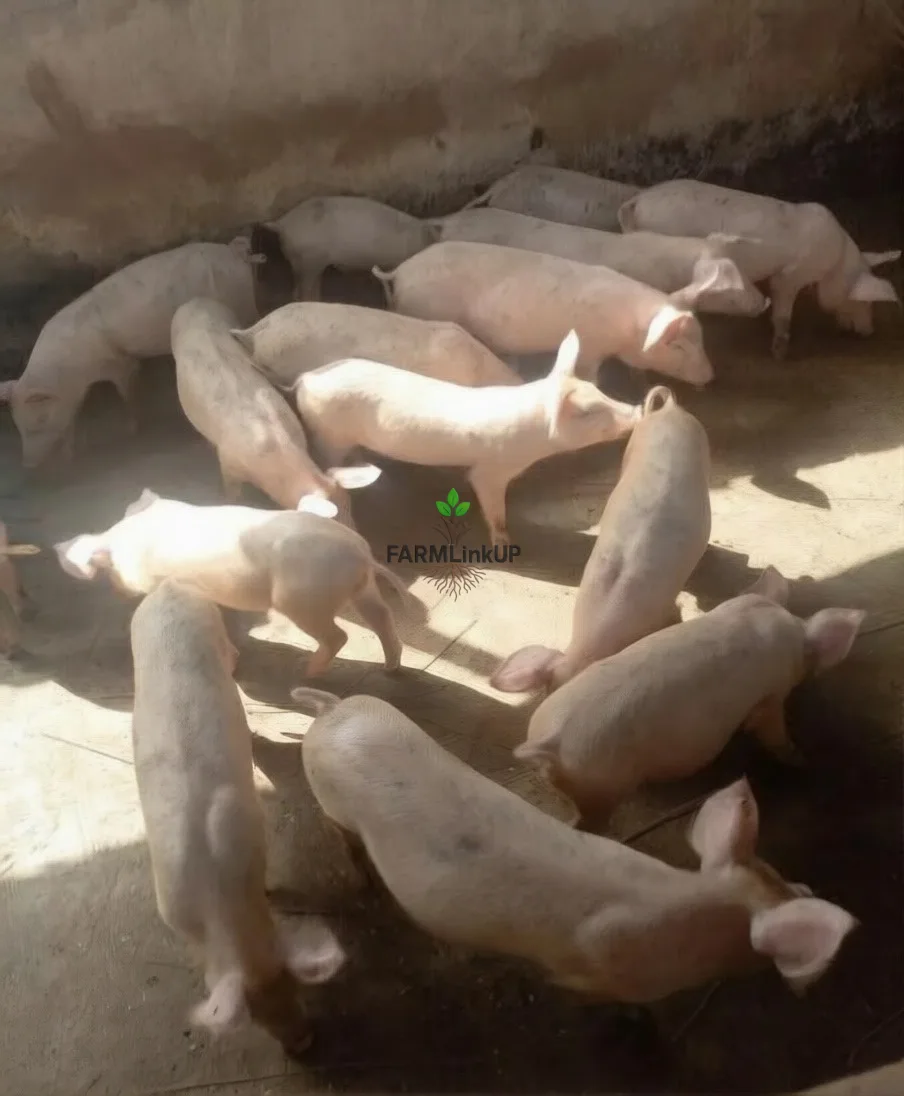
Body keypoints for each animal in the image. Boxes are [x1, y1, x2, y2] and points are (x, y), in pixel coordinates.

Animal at [0, 242, 262, 470]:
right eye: (18, 424)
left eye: (40, 420)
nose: (27, 465)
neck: (69, 373)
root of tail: (234, 251)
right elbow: (72, 419)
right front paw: (70, 456)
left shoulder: (117, 361)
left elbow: (127, 390)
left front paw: (132, 429)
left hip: (242, 302)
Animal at [55, 490, 412, 678]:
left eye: (109, 569)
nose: (118, 592)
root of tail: (361, 554)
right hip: (363, 591)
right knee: (383, 619)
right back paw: (390, 668)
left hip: (302, 600)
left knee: (340, 635)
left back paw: (306, 671)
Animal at [290, 330, 641, 547]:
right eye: (588, 411)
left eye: (598, 391)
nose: (637, 409)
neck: (535, 441)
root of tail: (305, 379)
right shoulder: (491, 471)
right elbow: (492, 505)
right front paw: (505, 545)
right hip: (327, 434)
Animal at [372, 242, 714, 386]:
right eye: (679, 346)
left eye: (701, 339)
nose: (711, 376)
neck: (628, 330)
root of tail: (400, 272)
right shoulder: (591, 347)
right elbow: (590, 376)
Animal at [618, 180, 900, 359]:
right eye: (864, 301)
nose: (869, 332)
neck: (835, 261)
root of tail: (636, 200)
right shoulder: (791, 275)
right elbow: (783, 308)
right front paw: (780, 354)